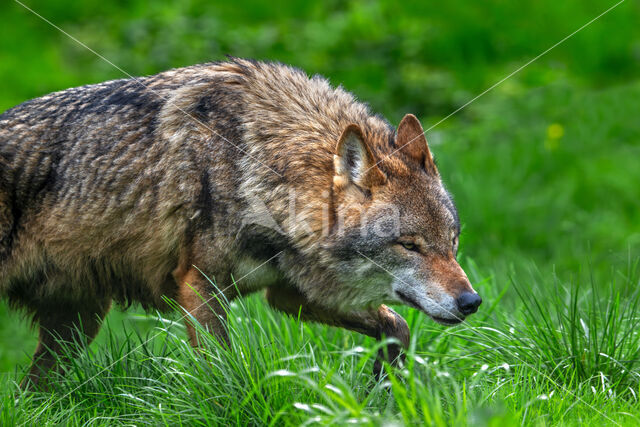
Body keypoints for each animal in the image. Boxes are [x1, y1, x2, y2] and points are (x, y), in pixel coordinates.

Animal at [0, 58, 480, 390]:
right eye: (409, 246)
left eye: (452, 242)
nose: (471, 302)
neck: (254, 158)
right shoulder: (199, 284)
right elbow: (223, 371)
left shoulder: (291, 294)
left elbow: (397, 328)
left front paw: (380, 389)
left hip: (78, 324)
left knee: (31, 392)